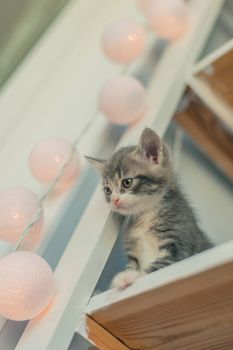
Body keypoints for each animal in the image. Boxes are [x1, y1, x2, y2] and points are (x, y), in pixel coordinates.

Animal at [86, 127, 213, 288]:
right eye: (107, 190)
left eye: (127, 182)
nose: (114, 200)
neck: (146, 214)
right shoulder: (133, 250)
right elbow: (133, 265)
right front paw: (124, 276)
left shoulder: (179, 246)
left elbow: (156, 267)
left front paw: (130, 276)